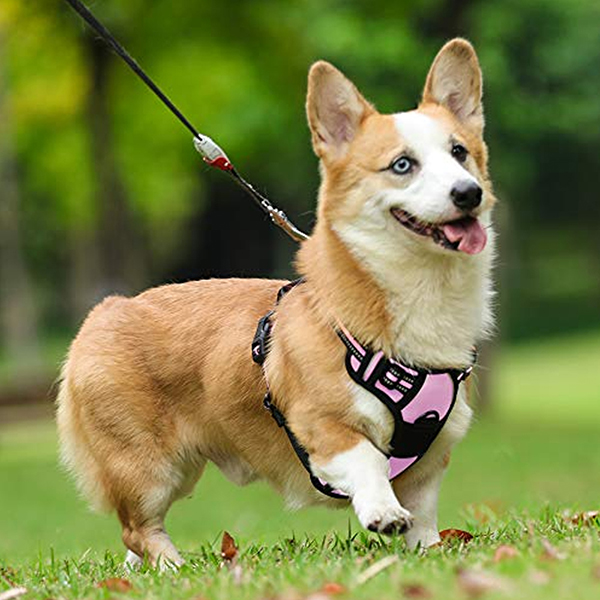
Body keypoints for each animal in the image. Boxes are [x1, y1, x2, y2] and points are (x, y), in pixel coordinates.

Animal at [57, 38, 496, 568]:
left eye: (460, 153)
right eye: (402, 165)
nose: (468, 193)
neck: (423, 293)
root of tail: (102, 313)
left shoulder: (434, 453)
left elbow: (424, 511)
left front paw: (429, 550)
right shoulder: (323, 428)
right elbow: (368, 459)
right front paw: (383, 513)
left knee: (132, 540)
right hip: (148, 468)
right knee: (137, 529)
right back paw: (173, 567)